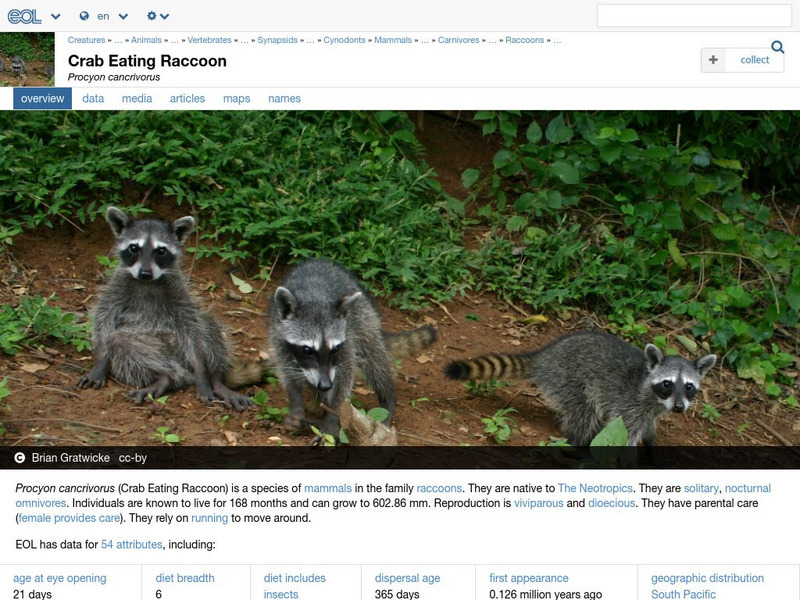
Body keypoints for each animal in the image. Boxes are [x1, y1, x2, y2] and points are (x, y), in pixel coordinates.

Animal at [77, 206, 261, 410]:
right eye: (134, 248)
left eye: (161, 251)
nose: (145, 273)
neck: (147, 283)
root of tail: (179, 366)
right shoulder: (117, 287)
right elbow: (104, 320)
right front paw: (101, 360)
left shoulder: (178, 291)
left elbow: (193, 329)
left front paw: (202, 370)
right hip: (152, 348)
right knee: (120, 342)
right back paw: (162, 377)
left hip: (182, 348)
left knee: (208, 326)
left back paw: (215, 377)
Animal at [268, 258, 436, 439]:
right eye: (307, 350)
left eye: (334, 349)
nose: (325, 385)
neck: (314, 298)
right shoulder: (278, 334)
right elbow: (286, 370)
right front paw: (296, 401)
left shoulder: (347, 337)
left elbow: (345, 376)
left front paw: (332, 419)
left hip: (364, 317)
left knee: (374, 360)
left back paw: (387, 398)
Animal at [445, 330, 716, 446]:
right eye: (667, 383)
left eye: (689, 387)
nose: (679, 407)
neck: (655, 399)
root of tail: (545, 356)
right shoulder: (630, 405)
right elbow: (625, 434)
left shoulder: (650, 412)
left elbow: (648, 429)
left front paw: (651, 444)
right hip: (569, 378)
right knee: (584, 413)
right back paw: (575, 442)